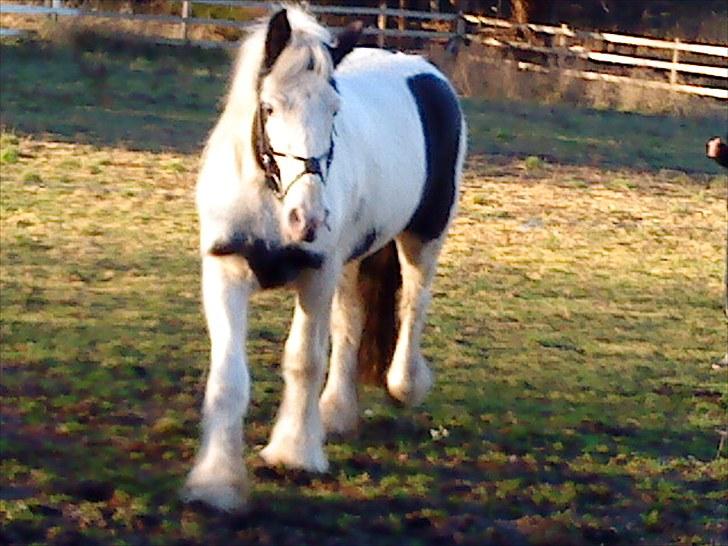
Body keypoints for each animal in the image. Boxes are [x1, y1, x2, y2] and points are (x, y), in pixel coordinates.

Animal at [182, 6, 466, 510]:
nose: (308, 219)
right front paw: (216, 481)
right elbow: (228, 378)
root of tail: (428, 74)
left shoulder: (316, 275)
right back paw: (335, 411)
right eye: (270, 107)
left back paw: (404, 384)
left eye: (334, 110)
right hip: (352, 260)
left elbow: (303, 361)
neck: (269, 199)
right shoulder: (226, 272)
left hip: (423, 236)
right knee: (351, 322)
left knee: (414, 304)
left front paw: (293, 453)